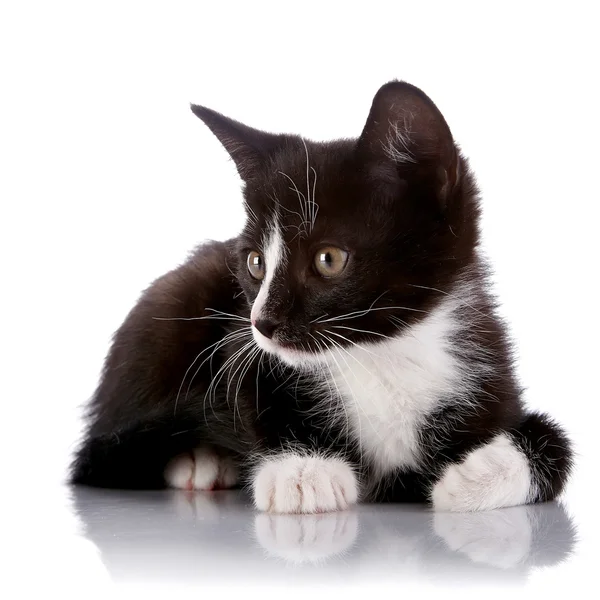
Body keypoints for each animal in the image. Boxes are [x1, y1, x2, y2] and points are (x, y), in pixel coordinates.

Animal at [70, 78, 572, 510]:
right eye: (255, 262)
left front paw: (476, 473)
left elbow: (557, 442)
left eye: (328, 259)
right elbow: (251, 401)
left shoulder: (490, 376)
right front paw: (302, 470)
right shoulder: (241, 354)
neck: (379, 356)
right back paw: (199, 460)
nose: (262, 324)